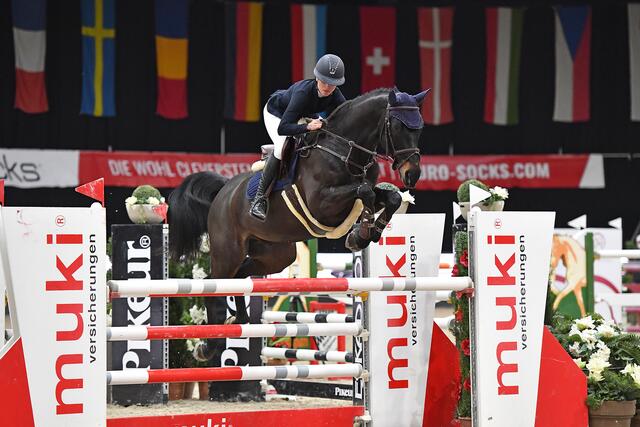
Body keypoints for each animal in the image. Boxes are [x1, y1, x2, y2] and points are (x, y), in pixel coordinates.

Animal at [168, 88, 428, 362]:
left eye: (420, 128)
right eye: (398, 127)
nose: (412, 175)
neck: (344, 151)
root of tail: (223, 192)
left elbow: (391, 197)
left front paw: (365, 233)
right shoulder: (323, 203)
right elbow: (364, 191)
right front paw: (361, 232)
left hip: (275, 254)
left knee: (240, 278)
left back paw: (242, 320)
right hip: (228, 252)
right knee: (213, 286)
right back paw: (207, 347)